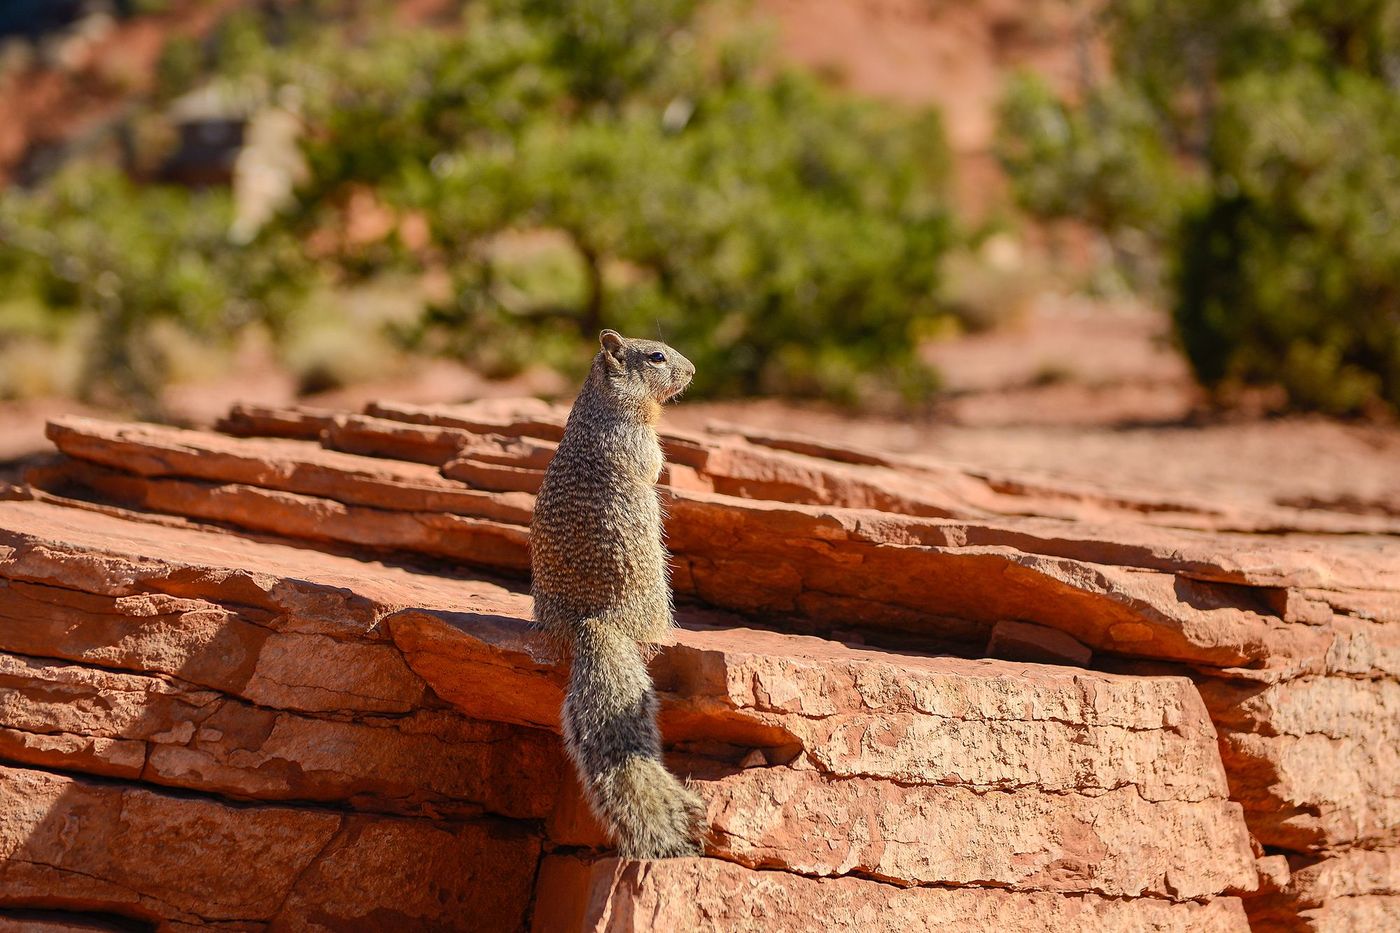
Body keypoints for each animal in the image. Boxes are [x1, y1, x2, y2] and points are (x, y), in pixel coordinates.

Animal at [530, 328, 706, 859]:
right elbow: (653, 464)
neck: (601, 404)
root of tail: (592, 620)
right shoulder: (638, 441)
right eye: (657, 356)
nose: (694, 370)